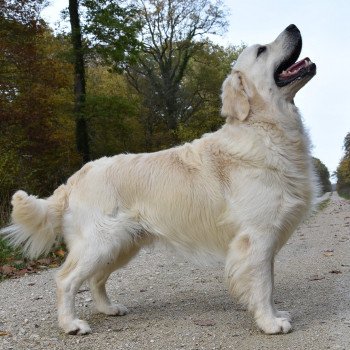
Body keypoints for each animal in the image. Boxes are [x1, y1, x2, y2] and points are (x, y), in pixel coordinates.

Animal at [0, 23, 318, 334]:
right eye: (262, 50)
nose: (293, 26)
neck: (266, 129)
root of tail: (75, 178)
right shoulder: (257, 236)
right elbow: (263, 285)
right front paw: (270, 322)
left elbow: (269, 282)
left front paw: (275, 314)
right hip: (99, 243)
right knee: (65, 280)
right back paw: (71, 324)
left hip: (121, 246)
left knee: (95, 279)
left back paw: (109, 308)